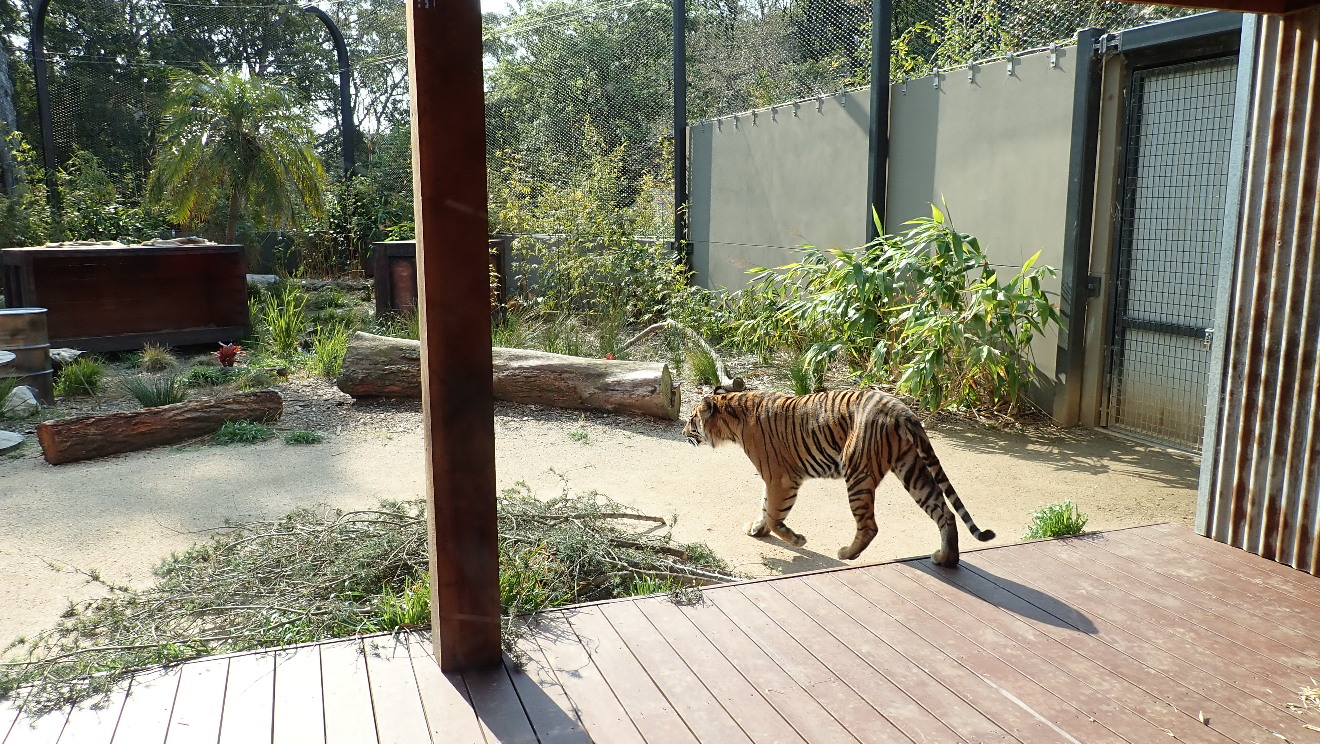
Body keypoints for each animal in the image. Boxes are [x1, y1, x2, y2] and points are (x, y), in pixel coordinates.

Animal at [682, 388, 995, 567]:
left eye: (690, 419)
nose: (684, 432)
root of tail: (901, 409)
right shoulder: (774, 480)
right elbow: (764, 507)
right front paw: (757, 529)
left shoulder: (781, 478)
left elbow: (773, 513)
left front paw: (796, 540)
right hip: (913, 470)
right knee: (945, 512)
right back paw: (945, 559)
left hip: (857, 472)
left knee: (870, 526)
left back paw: (846, 554)